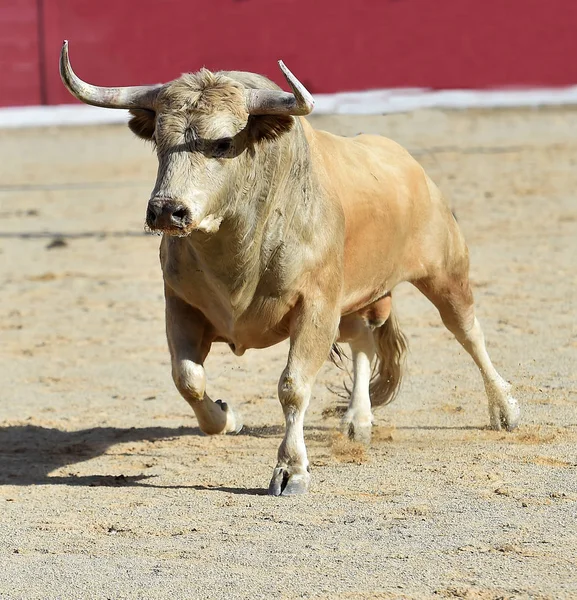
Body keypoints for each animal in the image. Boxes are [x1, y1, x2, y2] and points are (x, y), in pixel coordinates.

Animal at [60, 41, 520, 492]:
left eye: (222, 143)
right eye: (158, 138)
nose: (166, 210)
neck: (237, 253)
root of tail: (409, 165)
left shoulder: (316, 306)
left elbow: (293, 386)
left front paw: (291, 469)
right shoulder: (181, 304)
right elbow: (187, 377)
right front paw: (226, 417)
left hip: (445, 271)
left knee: (468, 331)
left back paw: (506, 410)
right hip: (354, 299)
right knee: (364, 341)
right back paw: (357, 421)